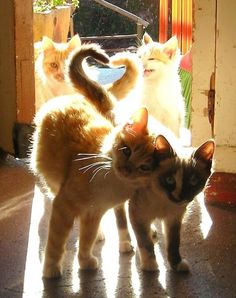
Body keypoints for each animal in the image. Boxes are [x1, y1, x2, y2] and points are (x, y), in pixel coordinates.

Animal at [128, 136, 215, 272]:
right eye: (169, 180)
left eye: (193, 181)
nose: (180, 197)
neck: (164, 201)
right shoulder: (137, 214)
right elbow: (145, 242)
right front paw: (150, 266)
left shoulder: (174, 218)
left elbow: (174, 243)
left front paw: (176, 265)